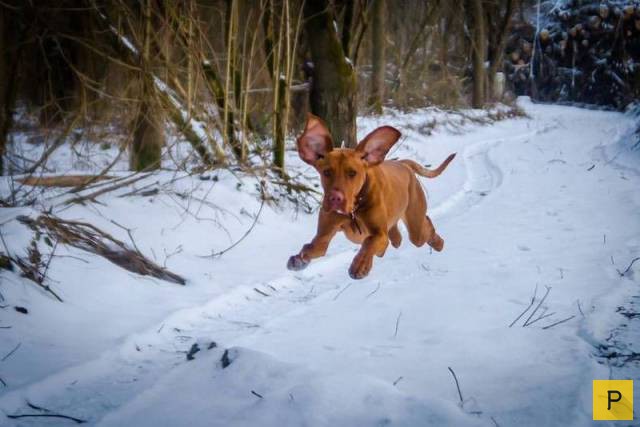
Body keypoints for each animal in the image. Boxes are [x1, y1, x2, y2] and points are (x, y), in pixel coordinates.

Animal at [284, 114, 456, 280]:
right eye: (326, 172)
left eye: (352, 173)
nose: (335, 198)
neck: (354, 209)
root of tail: (403, 164)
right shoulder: (324, 234)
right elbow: (314, 246)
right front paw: (299, 259)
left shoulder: (380, 234)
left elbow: (369, 242)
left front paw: (360, 265)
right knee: (397, 238)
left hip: (416, 226)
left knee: (424, 228)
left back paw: (437, 242)